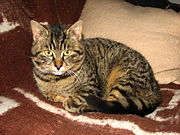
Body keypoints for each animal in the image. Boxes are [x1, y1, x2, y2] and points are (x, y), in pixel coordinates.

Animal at [30, 20, 161, 116]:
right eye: (48, 52)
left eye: (67, 52)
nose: (58, 66)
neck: (56, 80)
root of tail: (156, 88)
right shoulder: (46, 91)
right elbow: (50, 95)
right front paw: (58, 96)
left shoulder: (91, 86)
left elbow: (76, 96)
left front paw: (69, 100)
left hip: (123, 81)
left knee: (110, 105)